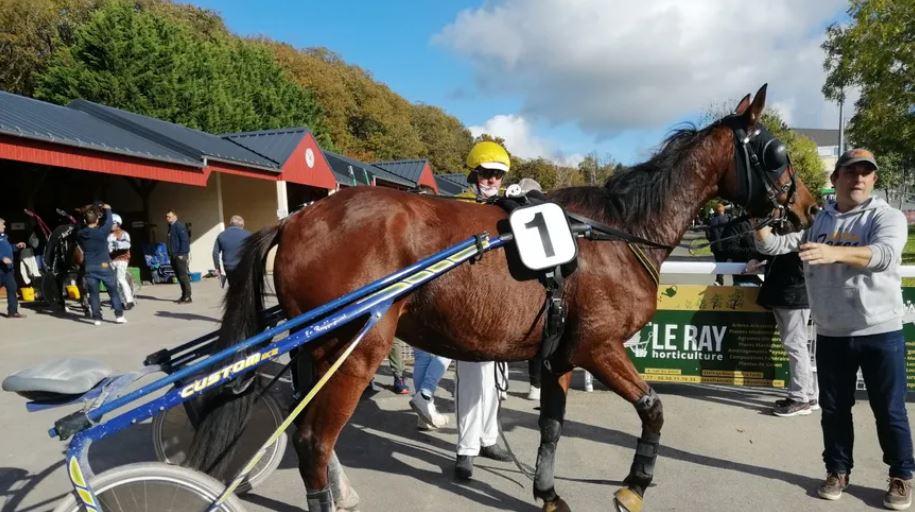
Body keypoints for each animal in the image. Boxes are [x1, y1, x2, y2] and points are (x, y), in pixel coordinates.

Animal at [190, 85, 820, 512]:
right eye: (777, 153)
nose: (810, 207)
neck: (614, 233)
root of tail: (299, 217)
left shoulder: (561, 354)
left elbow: (552, 427)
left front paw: (547, 492)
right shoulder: (599, 347)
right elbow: (653, 408)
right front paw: (633, 486)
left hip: (316, 352)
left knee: (307, 435)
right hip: (355, 349)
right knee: (315, 440)